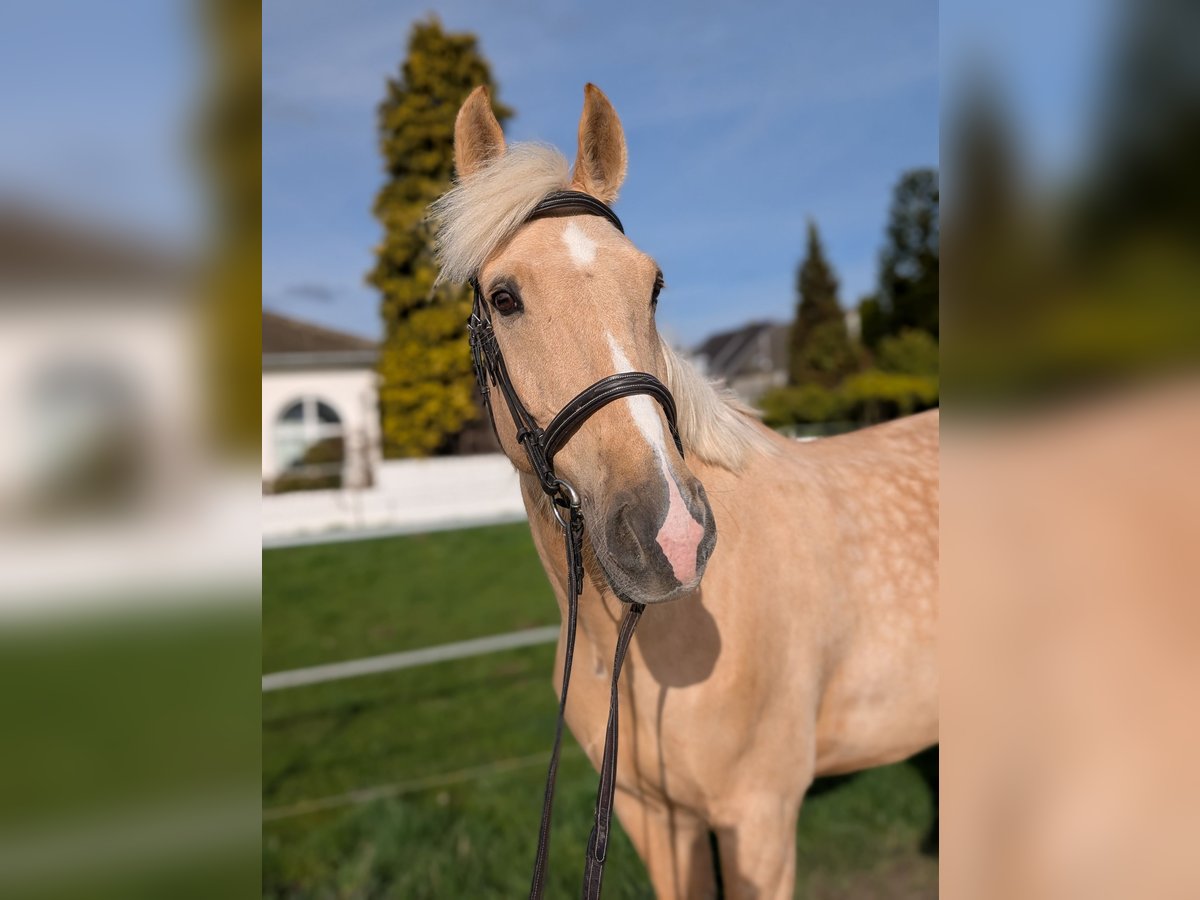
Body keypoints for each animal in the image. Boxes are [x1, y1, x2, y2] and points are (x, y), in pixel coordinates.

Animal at [433, 83, 939, 899]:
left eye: (654, 286)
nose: (669, 533)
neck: (635, 644)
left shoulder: (759, 821)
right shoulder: (655, 820)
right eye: (504, 298)